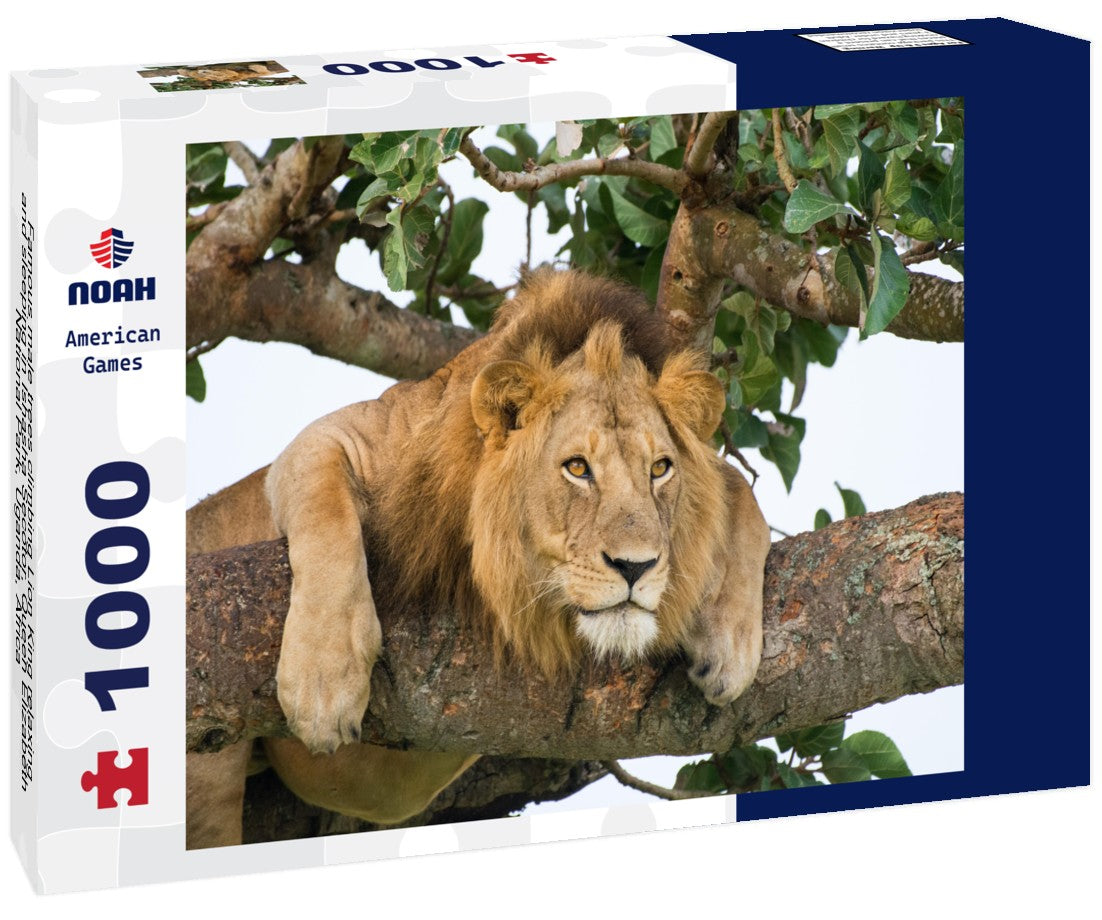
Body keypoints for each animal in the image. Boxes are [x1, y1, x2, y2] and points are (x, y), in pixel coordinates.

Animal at [185, 270, 770, 848]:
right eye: (577, 468)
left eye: (660, 469)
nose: (635, 567)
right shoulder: (334, 439)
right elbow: (324, 508)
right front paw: (323, 684)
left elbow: (739, 488)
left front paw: (729, 646)